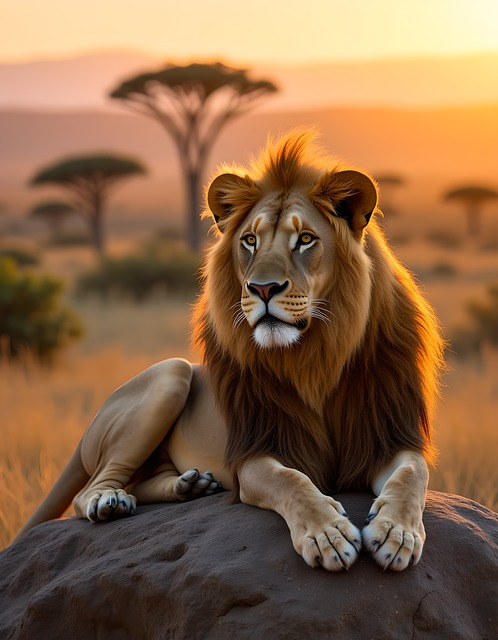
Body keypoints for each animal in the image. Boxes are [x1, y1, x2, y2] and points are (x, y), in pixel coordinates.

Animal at [15, 131, 444, 572]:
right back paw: (111, 501)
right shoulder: (255, 451)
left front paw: (397, 533)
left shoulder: (387, 436)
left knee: (143, 481)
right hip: (171, 373)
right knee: (91, 490)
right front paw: (327, 534)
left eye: (305, 239)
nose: (263, 288)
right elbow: (290, 480)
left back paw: (191, 485)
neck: (318, 355)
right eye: (249, 241)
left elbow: (414, 474)